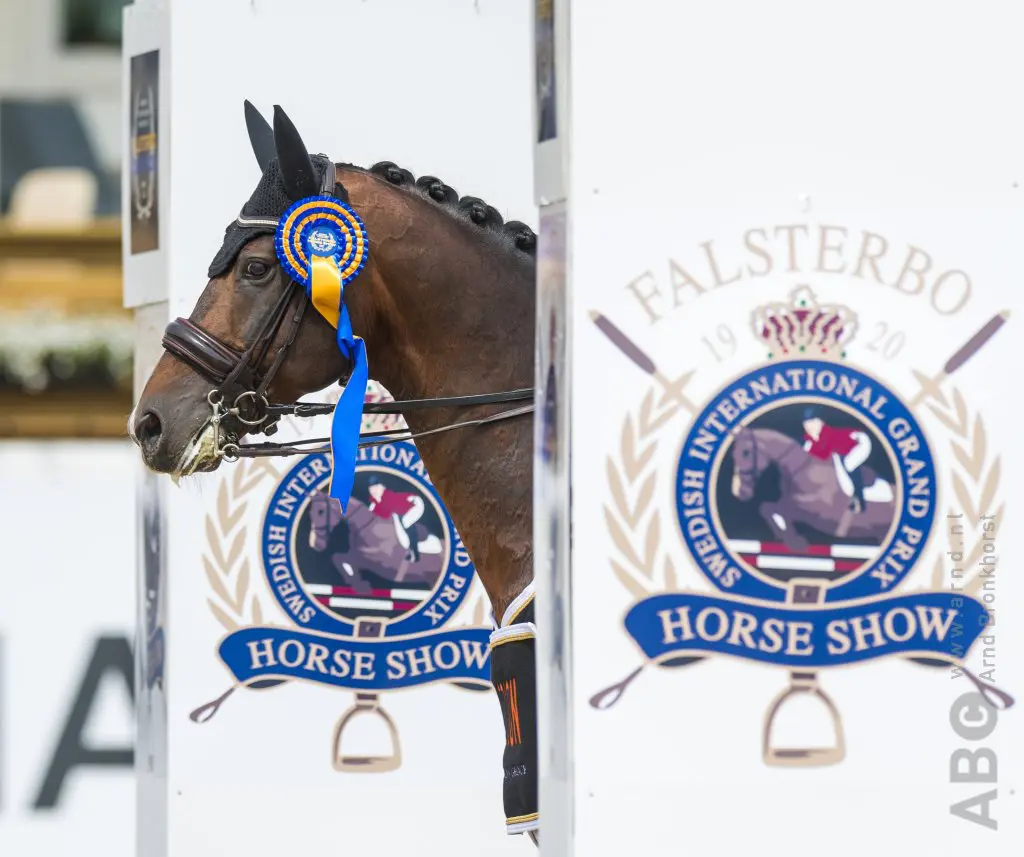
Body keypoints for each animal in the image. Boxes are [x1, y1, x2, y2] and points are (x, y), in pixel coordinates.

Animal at [729, 425, 896, 550]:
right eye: (733, 454)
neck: (802, 470)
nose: (739, 492)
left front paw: (795, 541)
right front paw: (786, 535)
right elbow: (767, 508)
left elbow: (778, 509)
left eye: (745, 452)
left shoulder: (818, 511)